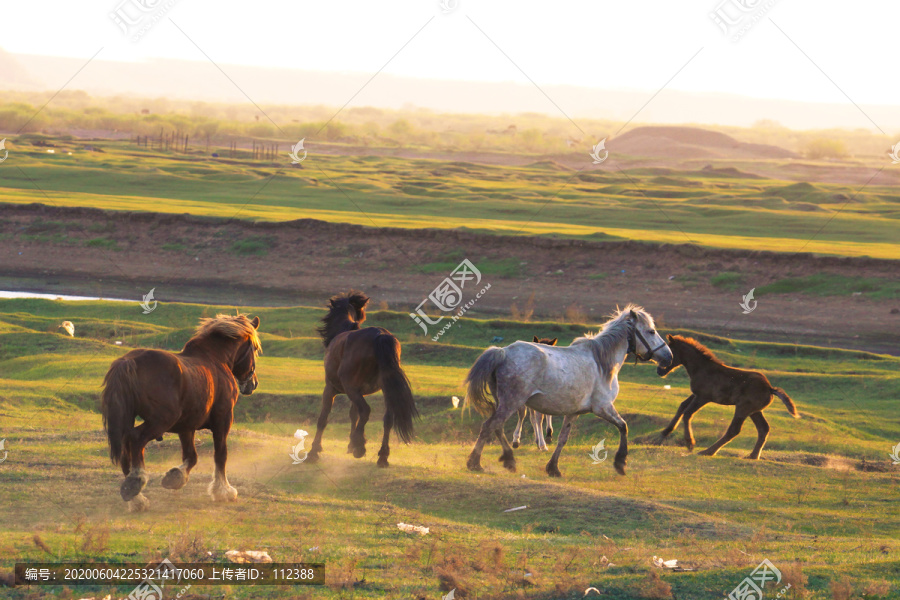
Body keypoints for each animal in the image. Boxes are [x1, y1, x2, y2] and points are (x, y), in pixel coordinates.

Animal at [101, 314, 260, 510]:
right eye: (254, 349)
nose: (253, 384)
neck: (216, 360)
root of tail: (129, 361)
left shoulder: (186, 427)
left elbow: (191, 457)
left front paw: (175, 477)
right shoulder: (223, 420)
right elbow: (220, 455)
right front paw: (223, 491)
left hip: (131, 418)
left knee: (126, 450)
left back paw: (136, 498)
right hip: (161, 420)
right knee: (136, 439)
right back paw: (136, 481)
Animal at [308, 292, 420, 466]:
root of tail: (380, 335)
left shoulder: (331, 388)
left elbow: (323, 419)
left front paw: (314, 451)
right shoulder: (358, 391)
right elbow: (353, 414)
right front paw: (349, 445)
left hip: (350, 388)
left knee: (366, 410)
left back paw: (360, 445)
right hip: (386, 389)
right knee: (387, 418)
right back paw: (382, 456)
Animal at [468, 308, 672, 476]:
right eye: (651, 331)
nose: (668, 357)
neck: (602, 363)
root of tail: (503, 352)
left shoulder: (574, 412)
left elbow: (562, 439)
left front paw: (553, 468)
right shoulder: (603, 407)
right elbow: (623, 426)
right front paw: (621, 463)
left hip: (503, 402)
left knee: (497, 427)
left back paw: (509, 460)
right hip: (512, 402)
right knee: (489, 426)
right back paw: (475, 463)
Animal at [652, 332, 800, 460]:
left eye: (669, 353)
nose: (659, 371)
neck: (702, 368)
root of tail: (770, 388)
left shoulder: (703, 397)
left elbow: (688, 413)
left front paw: (690, 443)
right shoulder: (696, 394)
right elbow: (682, 406)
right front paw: (665, 432)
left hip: (743, 408)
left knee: (734, 430)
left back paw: (708, 451)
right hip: (755, 411)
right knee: (763, 429)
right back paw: (753, 456)